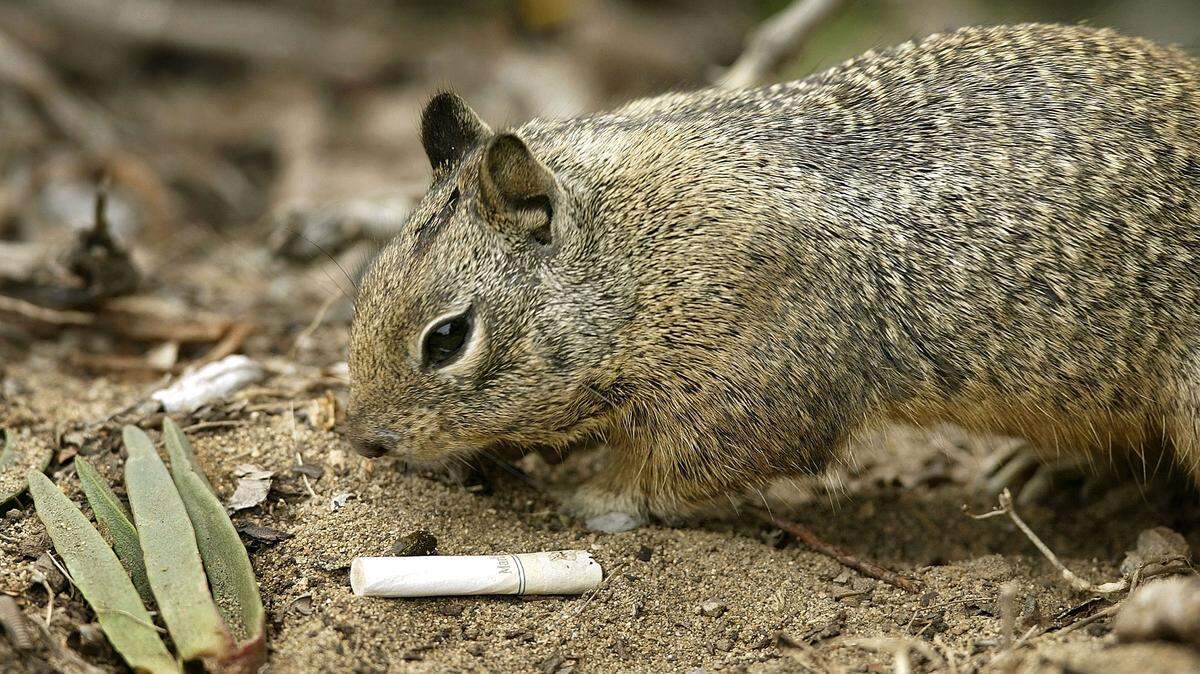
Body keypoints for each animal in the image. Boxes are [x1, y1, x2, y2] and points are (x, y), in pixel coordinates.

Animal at [346, 23, 1200, 521]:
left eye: (447, 338)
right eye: (365, 286)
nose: (365, 441)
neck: (632, 254)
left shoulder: (745, 390)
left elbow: (672, 473)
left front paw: (595, 497)